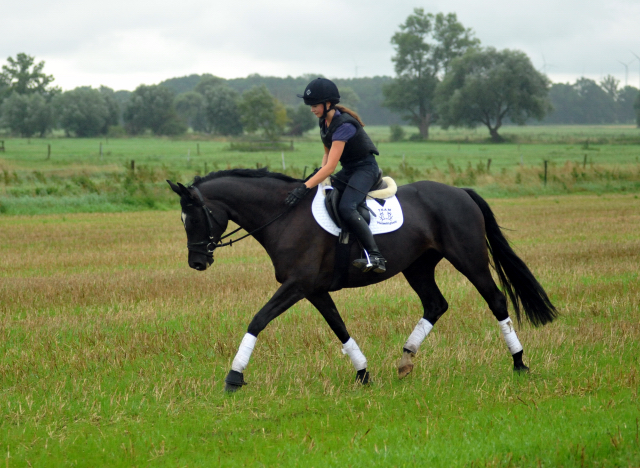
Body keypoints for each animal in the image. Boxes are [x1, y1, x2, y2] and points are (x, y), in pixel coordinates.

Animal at [168, 168, 556, 392]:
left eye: (194, 218)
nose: (197, 262)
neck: (283, 215)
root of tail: (461, 192)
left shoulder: (297, 285)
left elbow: (258, 320)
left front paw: (234, 377)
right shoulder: (314, 290)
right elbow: (339, 327)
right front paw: (363, 373)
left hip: (469, 259)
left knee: (496, 300)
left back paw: (519, 362)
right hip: (417, 266)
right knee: (436, 304)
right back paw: (406, 358)